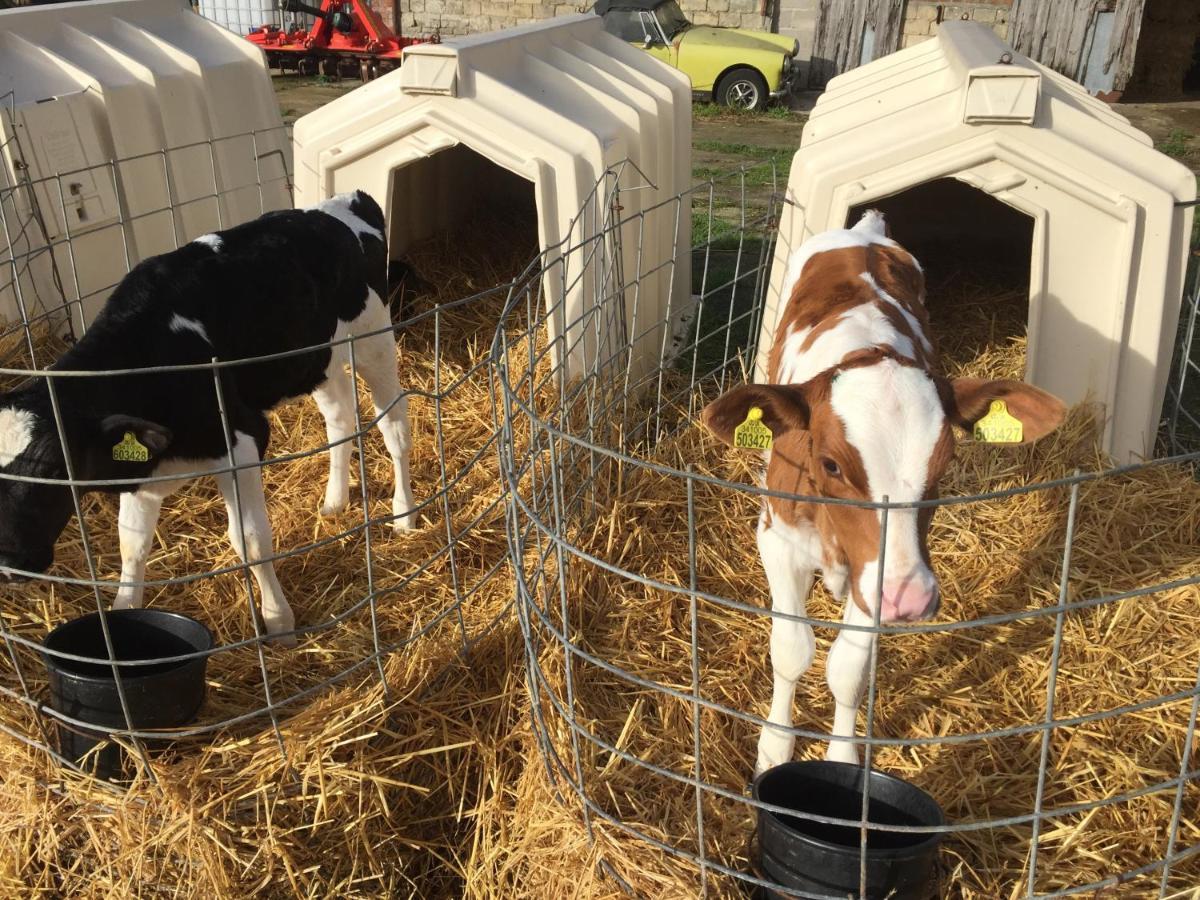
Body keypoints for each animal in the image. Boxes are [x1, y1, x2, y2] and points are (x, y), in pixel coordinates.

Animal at [0, 188, 417, 643]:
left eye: (56, 470)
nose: (9, 563)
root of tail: (343, 201)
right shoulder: (141, 465)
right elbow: (132, 545)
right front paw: (123, 613)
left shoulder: (243, 439)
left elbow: (250, 541)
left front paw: (278, 623)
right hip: (315, 362)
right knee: (340, 417)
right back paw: (335, 502)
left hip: (374, 337)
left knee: (394, 426)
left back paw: (405, 514)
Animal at [700, 211, 1065, 777]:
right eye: (831, 463)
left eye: (946, 461)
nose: (909, 599)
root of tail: (865, 232)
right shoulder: (777, 539)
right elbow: (791, 649)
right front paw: (774, 748)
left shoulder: (876, 570)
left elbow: (848, 667)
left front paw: (843, 759)